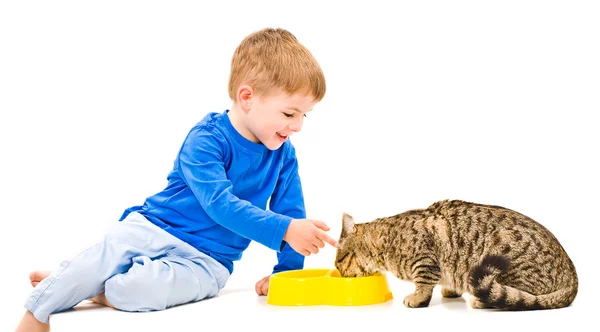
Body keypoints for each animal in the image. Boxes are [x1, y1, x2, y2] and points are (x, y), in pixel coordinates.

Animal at [336, 198, 580, 310]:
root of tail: (572, 276)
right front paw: (451, 290)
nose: (340, 274)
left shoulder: (425, 261)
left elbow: (423, 284)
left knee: (519, 298)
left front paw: (417, 298)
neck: (387, 239)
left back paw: (482, 300)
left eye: (339, 261)